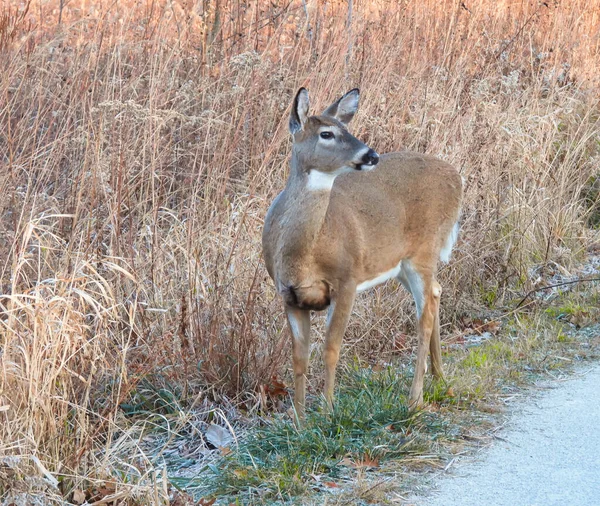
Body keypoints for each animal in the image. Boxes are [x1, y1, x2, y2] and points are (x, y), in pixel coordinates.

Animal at [260, 88, 462, 420]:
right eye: (326, 133)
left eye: (348, 128)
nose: (371, 155)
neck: (302, 256)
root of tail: (457, 177)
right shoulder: (288, 295)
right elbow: (299, 357)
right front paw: (299, 421)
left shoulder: (347, 280)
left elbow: (330, 350)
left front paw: (328, 413)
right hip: (400, 264)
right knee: (436, 291)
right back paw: (440, 378)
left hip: (423, 251)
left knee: (424, 315)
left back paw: (415, 399)